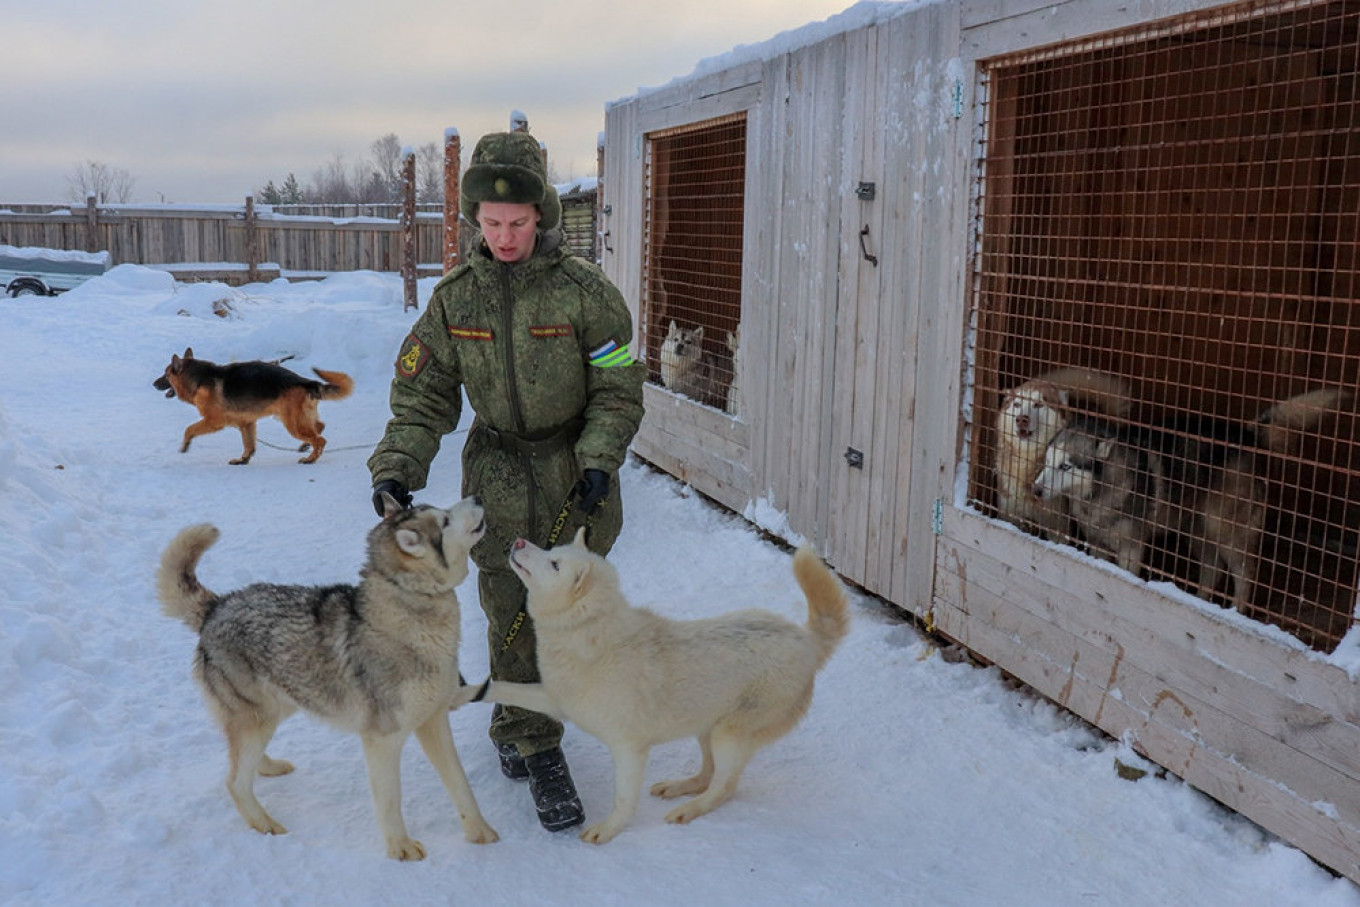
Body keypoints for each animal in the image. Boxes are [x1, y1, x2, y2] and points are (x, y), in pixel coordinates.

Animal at [995, 367, 1131, 538]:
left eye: (1038, 404)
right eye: (1017, 404)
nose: (1021, 420)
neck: (1027, 461)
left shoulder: (1059, 527)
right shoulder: (1009, 514)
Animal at [1028, 386, 1349, 614]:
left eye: (1066, 466)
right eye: (1047, 461)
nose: (1035, 490)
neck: (1099, 491)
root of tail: (1247, 433)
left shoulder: (1132, 549)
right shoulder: (1097, 544)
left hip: (1227, 533)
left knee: (1244, 575)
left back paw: (1235, 612)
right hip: (1198, 533)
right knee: (1212, 570)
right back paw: (1200, 602)